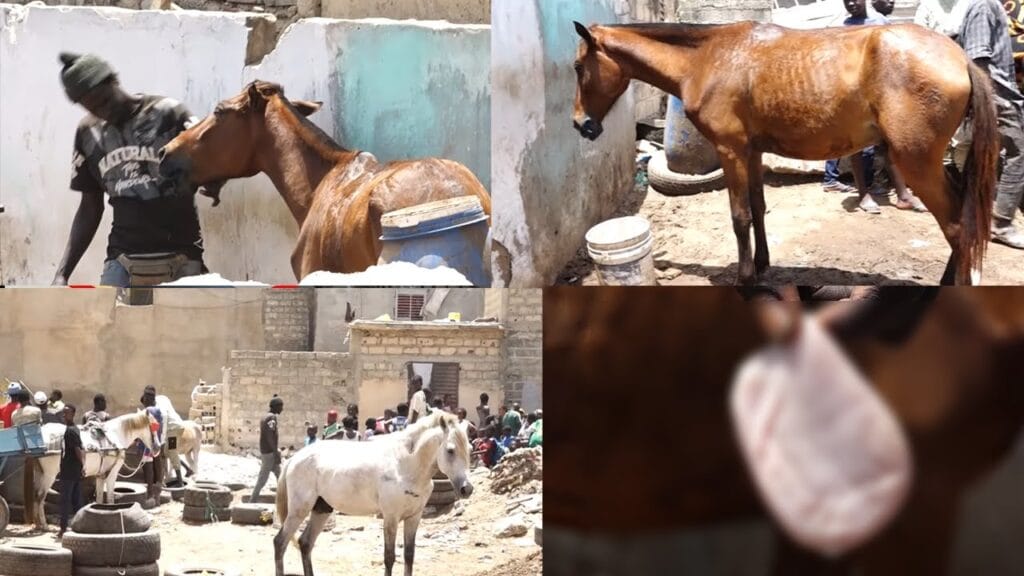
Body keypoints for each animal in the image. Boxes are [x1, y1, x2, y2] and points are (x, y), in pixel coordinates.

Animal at [273, 411, 473, 576]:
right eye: (450, 450)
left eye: (469, 450)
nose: (467, 489)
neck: (406, 466)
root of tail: (294, 458)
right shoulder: (391, 517)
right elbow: (389, 557)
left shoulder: (414, 517)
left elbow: (409, 556)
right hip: (299, 510)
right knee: (280, 542)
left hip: (321, 510)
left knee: (305, 543)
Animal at [571, 21, 1000, 286]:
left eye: (577, 66)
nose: (581, 125)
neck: (708, 58)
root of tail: (960, 57)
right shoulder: (751, 152)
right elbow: (758, 209)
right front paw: (762, 265)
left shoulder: (730, 151)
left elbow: (740, 217)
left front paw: (745, 278)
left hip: (918, 162)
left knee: (956, 226)